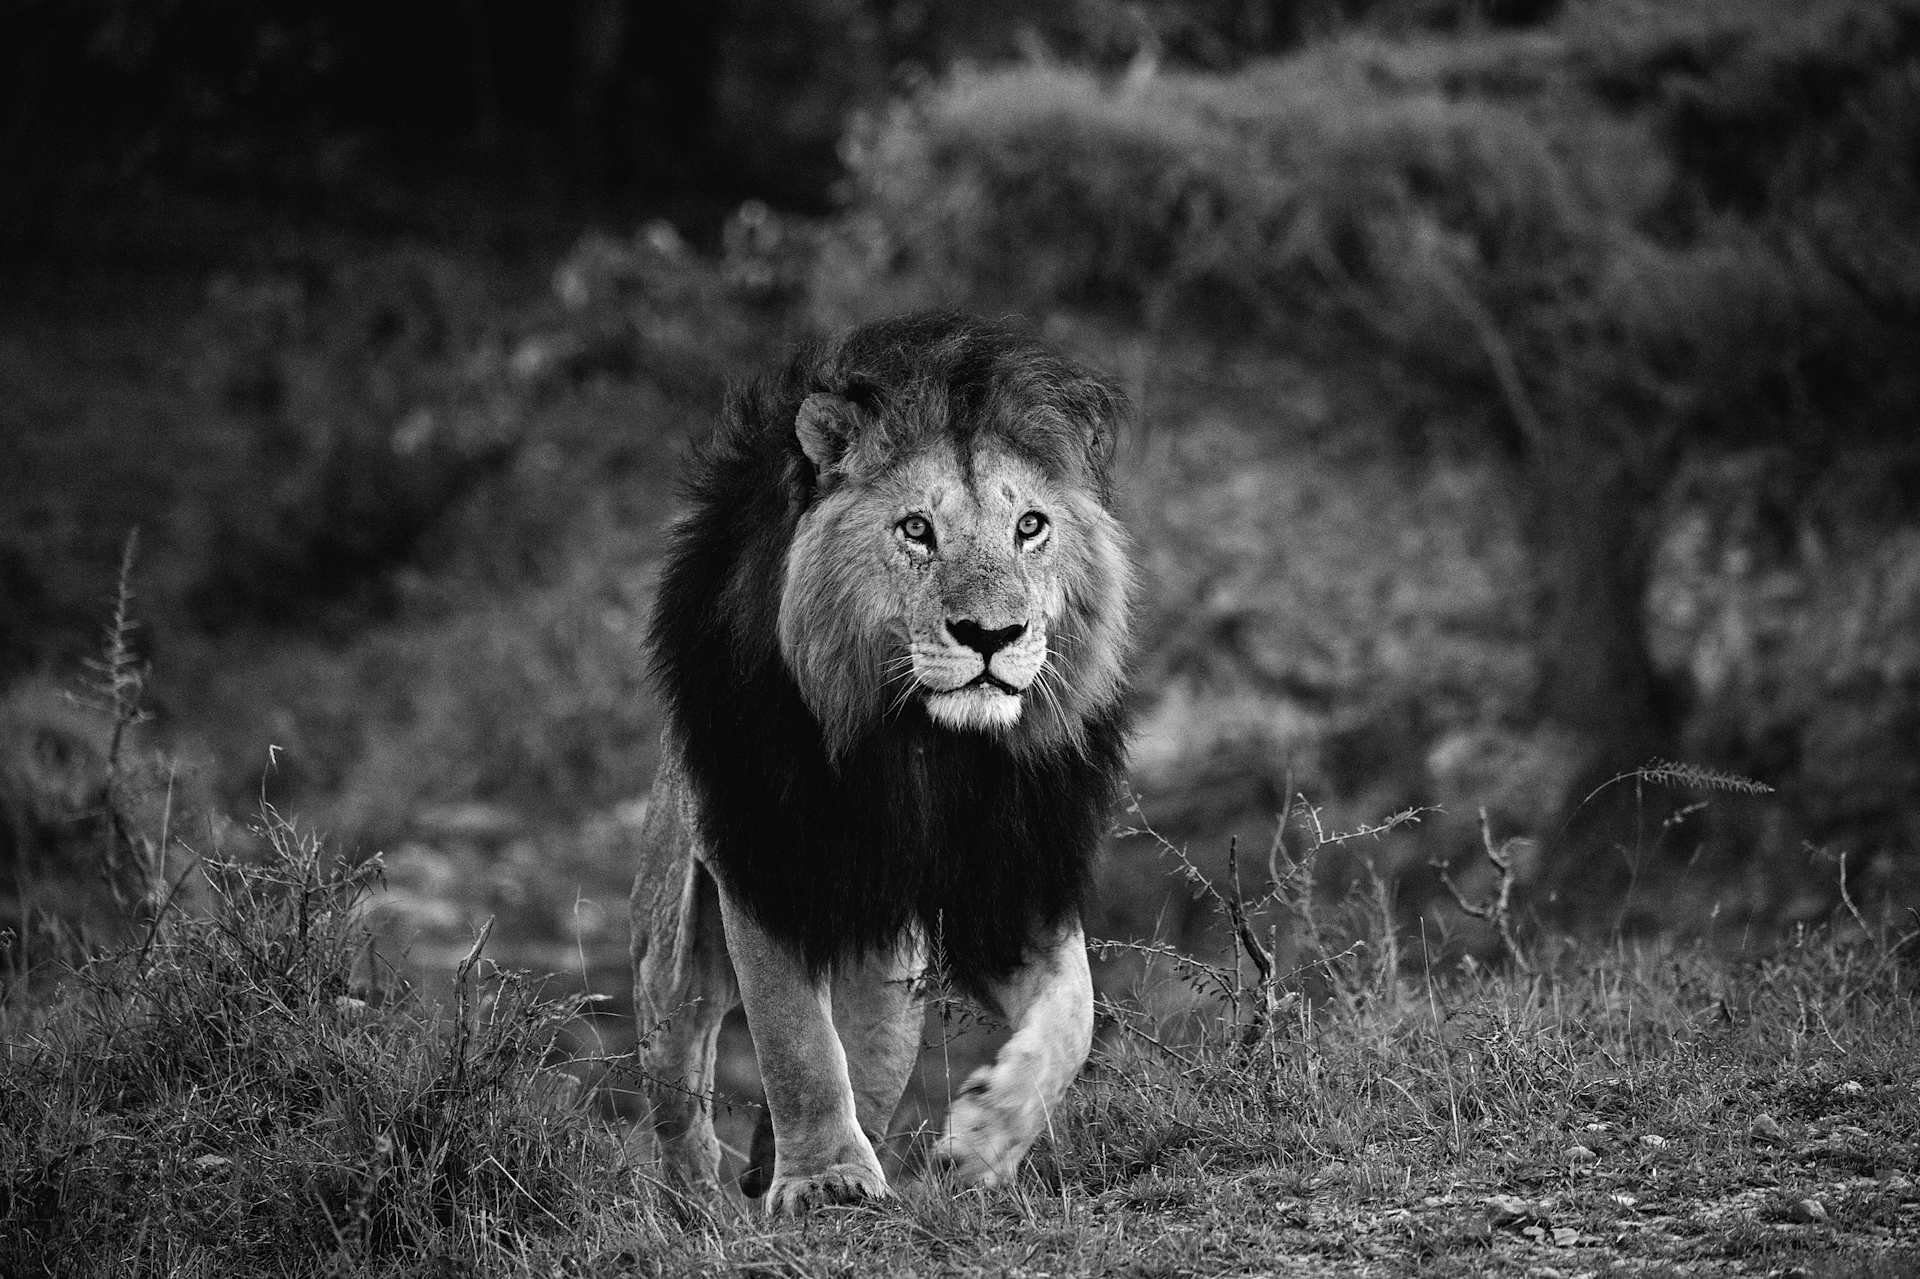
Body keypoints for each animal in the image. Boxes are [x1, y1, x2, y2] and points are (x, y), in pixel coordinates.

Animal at [629, 311, 1136, 1213]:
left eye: (1030, 526)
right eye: (916, 529)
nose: (991, 636)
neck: (926, 751)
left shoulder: (1008, 875)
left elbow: (1074, 1014)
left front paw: (984, 1139)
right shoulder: (766, 855)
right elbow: (794, 1036)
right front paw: (825, 1179)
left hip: (892, 973)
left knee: (869, 1052)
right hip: (674, 936)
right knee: (680, 1067)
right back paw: (697, 1202)